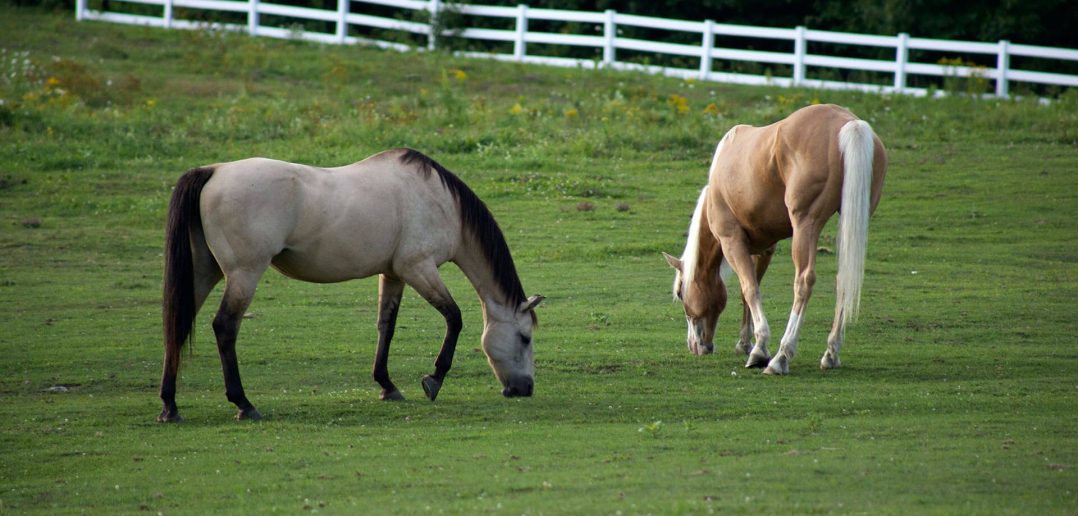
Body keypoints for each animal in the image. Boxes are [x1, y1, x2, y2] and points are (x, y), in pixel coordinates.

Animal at [160, 148, 543, 422]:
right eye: (525, 338)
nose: (525, 388)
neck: (440, 201)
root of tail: (213, 171)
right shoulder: (418, 268)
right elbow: (454, 317)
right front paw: (433, 379)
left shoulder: (393, 274)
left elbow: (386, 326)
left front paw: (387, 385)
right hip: (244, 273)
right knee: (225, 327)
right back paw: (243, 403)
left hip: (204, 272)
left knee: (177, 324)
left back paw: (170, 406)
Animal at [664, 104, 886, 375]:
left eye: (680, 293)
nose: (695, 346)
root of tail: (849, 123)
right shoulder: (764, 248)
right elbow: (748, 291)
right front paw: (745, 343)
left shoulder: (732, 241)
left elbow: (750, 289)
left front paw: (759, 350)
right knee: (844, 279)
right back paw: (831, 353)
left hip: (805, 225)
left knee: (803, 282)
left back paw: (781, 357)